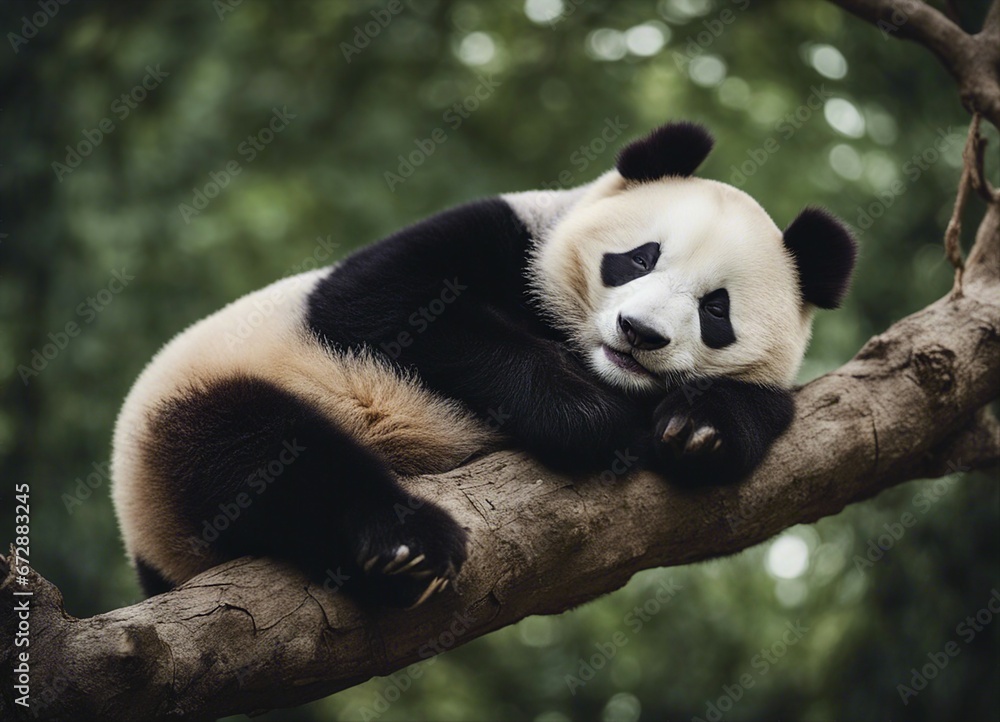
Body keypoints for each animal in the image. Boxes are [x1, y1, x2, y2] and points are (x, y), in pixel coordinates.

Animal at [111, 122, 856, 608]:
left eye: (715, 310)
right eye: (639, 258)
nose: (639, 333)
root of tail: (157, 555)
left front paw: (700, 429)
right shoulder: (502, 233)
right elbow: (388, 301)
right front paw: (594, 420)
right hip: (196, 406)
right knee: (267, 451)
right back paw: (408, 546)